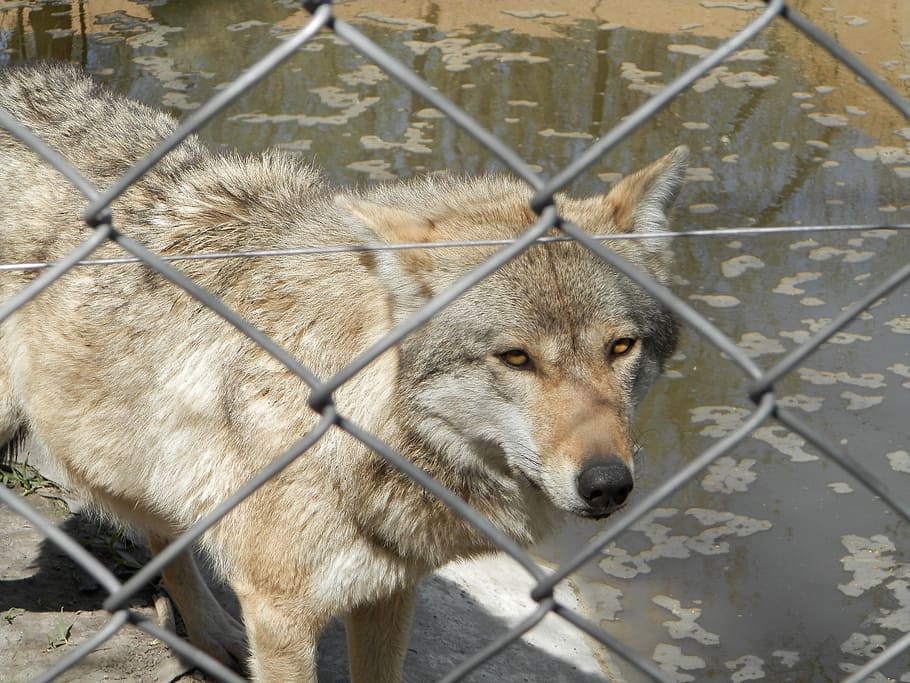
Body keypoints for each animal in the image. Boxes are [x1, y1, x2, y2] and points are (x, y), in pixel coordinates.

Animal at [0, 63, 686, 681]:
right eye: (515, 357)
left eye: (621, 348)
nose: (607, 485)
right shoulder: (280, 616)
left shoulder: (389, 589)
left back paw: (211, 636)